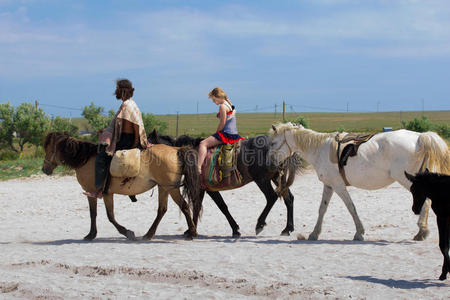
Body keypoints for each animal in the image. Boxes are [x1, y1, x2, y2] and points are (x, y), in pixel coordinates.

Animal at [41, 132, 200, 240]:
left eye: (49, 149)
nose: (44, 169)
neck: (86, 159)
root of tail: (176, 150)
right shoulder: (100, 194)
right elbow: (95, 214)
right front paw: (92, 234)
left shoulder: (100, 193)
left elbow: (108, 216)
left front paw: (126, 232)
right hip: (164, 187)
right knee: (162, 209)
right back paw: (149, 234)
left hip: (171, 188)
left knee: (184, 206)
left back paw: (191, 232)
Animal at [148, 129, 306, 237]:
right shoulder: (205, 189)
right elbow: (202, 206)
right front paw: (191, 229)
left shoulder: (206, 189)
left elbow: (220, 207)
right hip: (277, 178)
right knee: (289, 199)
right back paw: (287, 228)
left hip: (262, 180)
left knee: (272, 197)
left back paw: (260, 224)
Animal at [268, 122, 448, 241]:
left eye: (274, 143)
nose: (271, 162)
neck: (319, 149)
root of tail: (419, 137)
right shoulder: (329, 185)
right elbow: (322, 209)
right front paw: (314, 233)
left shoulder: (338, 185)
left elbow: (351, 207)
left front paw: (359, 232)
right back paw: (421, 231)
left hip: (408, 180)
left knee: (425, 202)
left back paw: (421, 232)